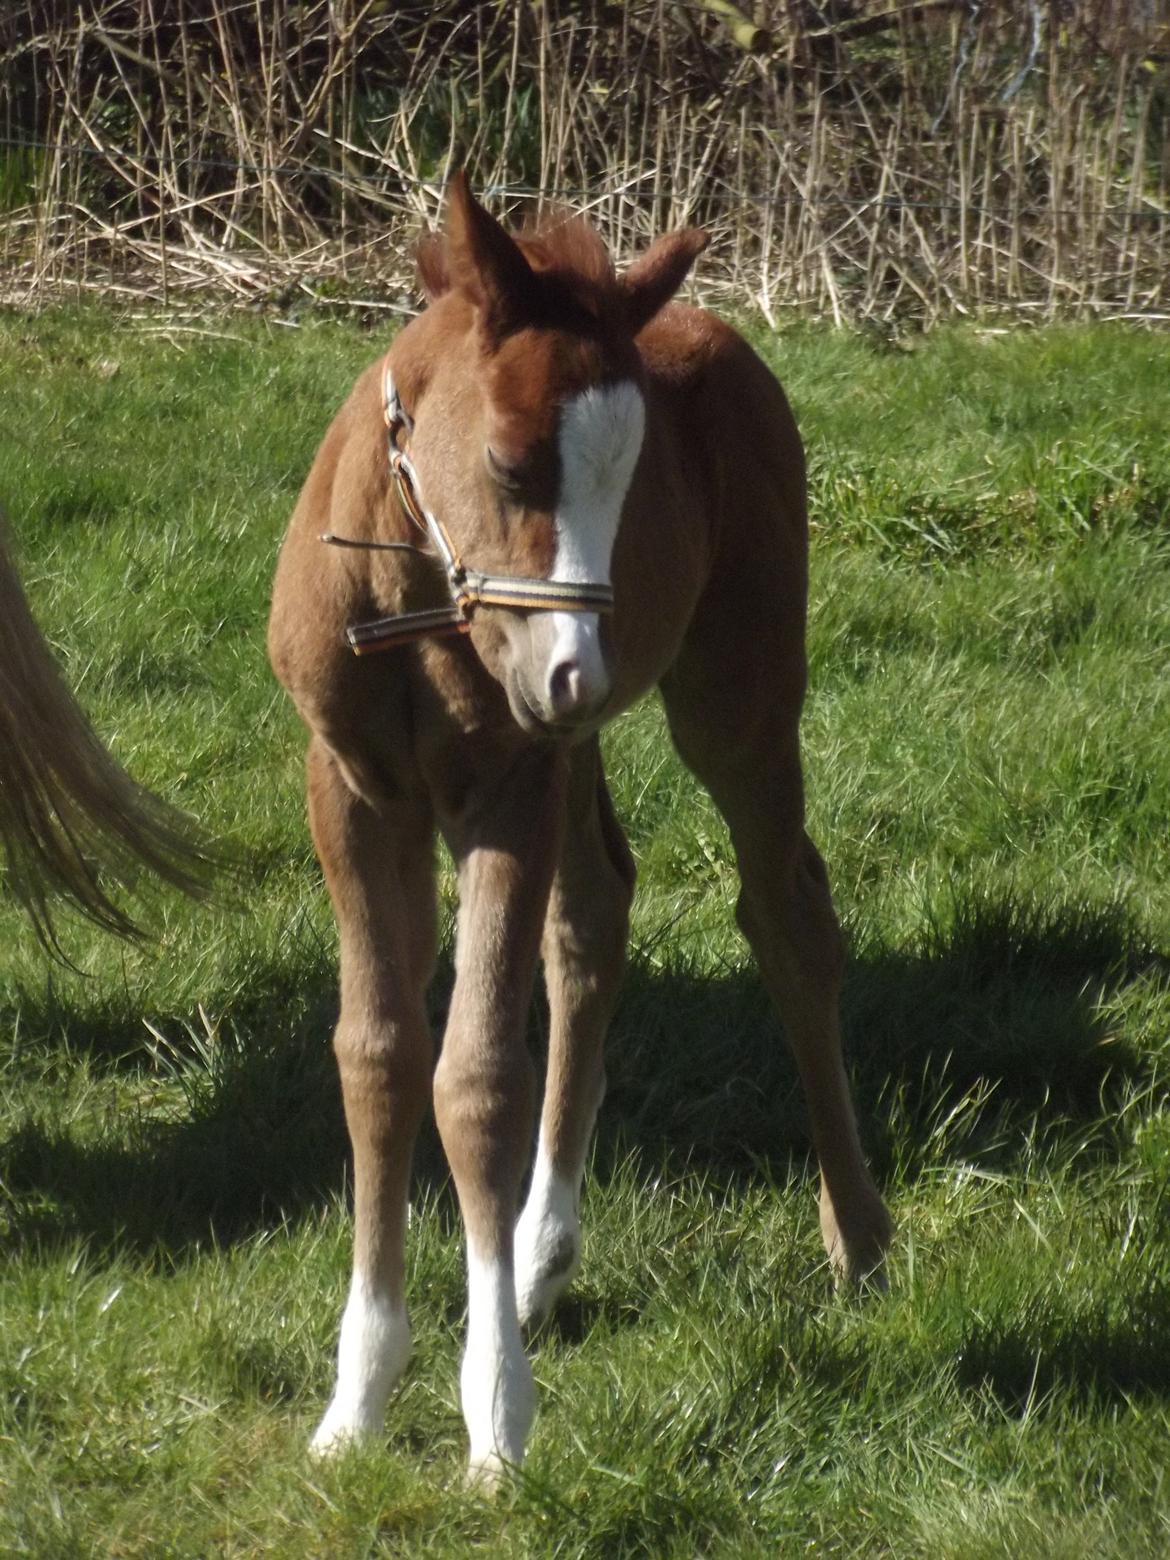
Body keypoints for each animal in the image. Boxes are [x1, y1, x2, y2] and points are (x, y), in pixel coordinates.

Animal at [268, 172, 893, 1481]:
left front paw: (495, 1421)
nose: (574, 673)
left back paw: (858, 1235)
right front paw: (357, 1402)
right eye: (513, 464)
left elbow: (477, 1076)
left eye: (636, 475)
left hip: (733, 695)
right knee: (595, 915)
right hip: (575, 743)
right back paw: (541, 1257)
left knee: (789, 917)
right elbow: (377, 1055)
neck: (413, 604)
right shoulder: (353, 791)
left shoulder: (506, 786)